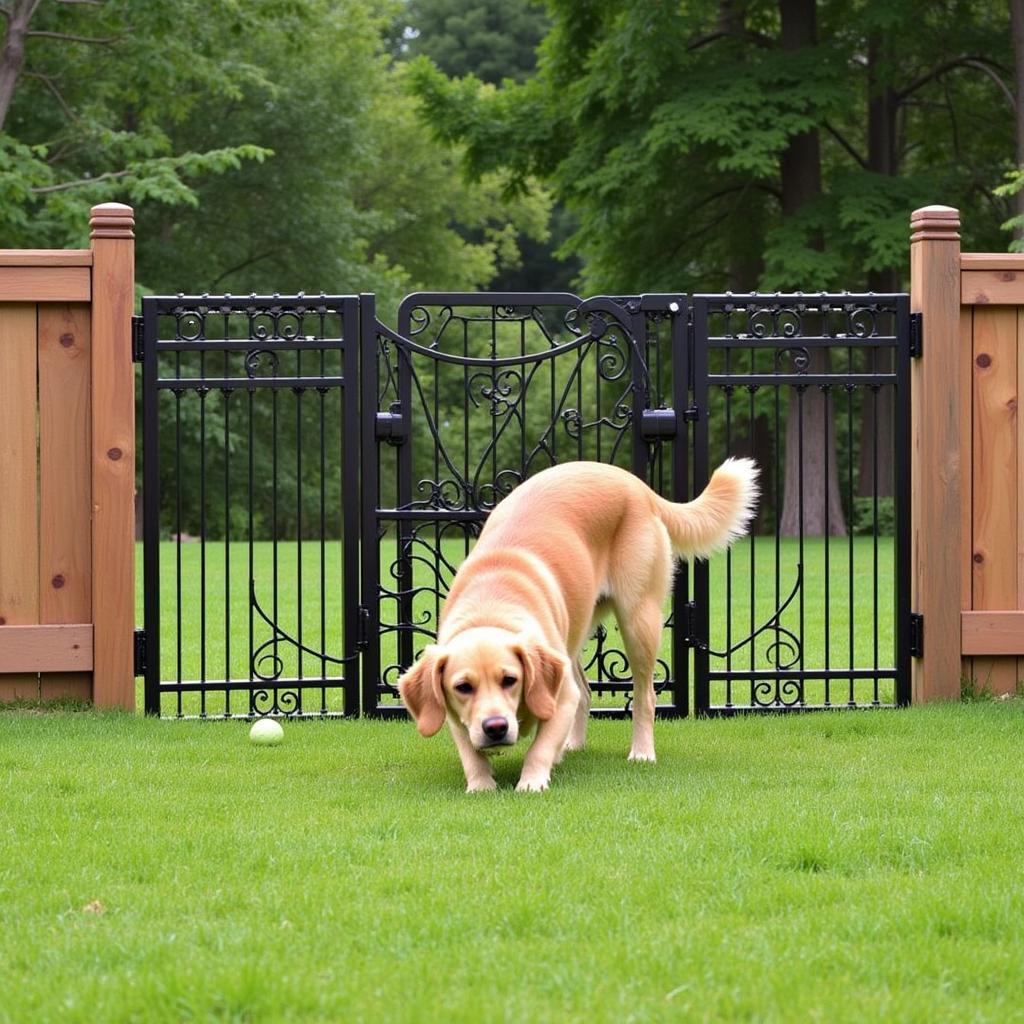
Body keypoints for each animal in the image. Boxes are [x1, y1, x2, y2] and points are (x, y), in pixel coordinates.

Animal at [395, 460, 757, 794]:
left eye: (510, 680)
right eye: (463, 687)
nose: (495, 727)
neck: (490, 605)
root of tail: (638, 485)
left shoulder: (560, 692)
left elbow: (539, 747)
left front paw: (531, 781)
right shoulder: (455, 711)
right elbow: (470, 751)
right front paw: (481, 784)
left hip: (639, 620)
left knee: (645, 696)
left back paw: (641, 751)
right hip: (575, 633)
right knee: (585, 689)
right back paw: (571, 745)